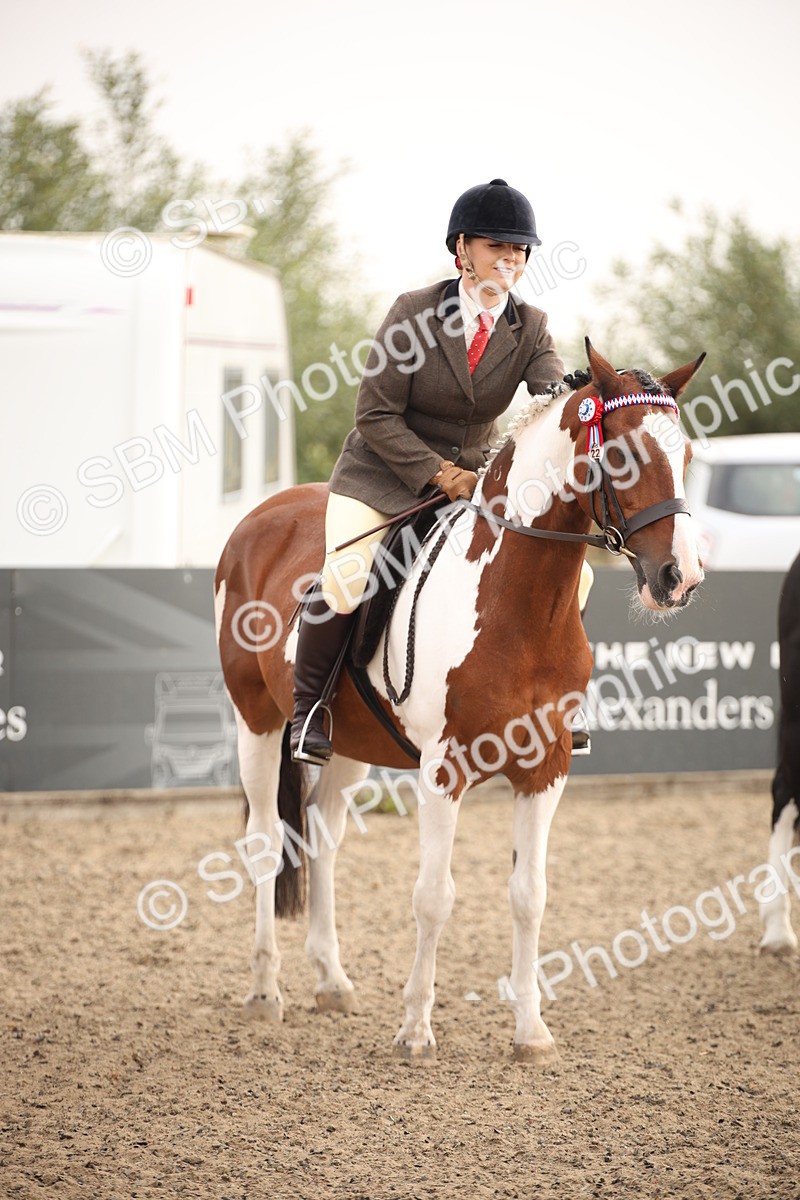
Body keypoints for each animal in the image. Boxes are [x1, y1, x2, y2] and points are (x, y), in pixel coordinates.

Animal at [215, 341, 706, 1063]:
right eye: (622, 455)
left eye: (687, 455)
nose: (680, 579)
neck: (517, 600)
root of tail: (258, 519)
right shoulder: (442, 771)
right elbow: (433, 897)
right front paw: (416, 1029)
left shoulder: (547, 768)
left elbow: (529, 895)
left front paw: (530, 1031)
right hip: (258, 720)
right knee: (264, 841)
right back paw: (263, 992)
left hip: (348, 745)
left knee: (324, 838)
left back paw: (331, 982)